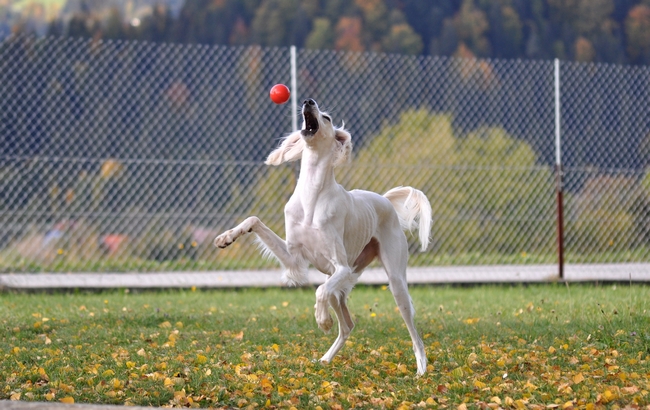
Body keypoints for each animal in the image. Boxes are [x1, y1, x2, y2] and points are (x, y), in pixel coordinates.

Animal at [215, 99, 432, 374]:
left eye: (327, 118)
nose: (308, 102)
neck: (312, 196)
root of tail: (384, 200)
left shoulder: (341, 267)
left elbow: (319, 291)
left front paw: (322, 319)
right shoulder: (295, 260)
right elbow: (253, 220)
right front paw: (226, 237)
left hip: (393, 282)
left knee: (412, 330)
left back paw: (421, 368)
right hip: (341, 285)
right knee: (348, 324)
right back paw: (326, 358)